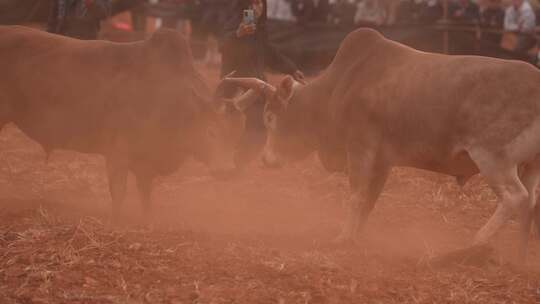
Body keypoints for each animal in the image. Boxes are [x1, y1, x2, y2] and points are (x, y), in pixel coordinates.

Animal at [0, 25, 258, 221]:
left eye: (237, 133)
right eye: (211, 131)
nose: (226, 170)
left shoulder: (144, 160)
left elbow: (145, 192)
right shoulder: (117, 153)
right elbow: (119, 191)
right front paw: (116, 219)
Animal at [226, 27, 540, 262]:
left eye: (270, 118)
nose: (266, 159)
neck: (340, 86)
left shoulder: (360, 148)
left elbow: (356, 196)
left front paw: (342, 238)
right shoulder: (383, 161)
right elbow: (369, 201)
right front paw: (357, 237)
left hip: (493, 158)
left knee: (516, 197)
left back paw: (475, 243)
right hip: (530, 165)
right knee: (530, 203)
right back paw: (520, 258)